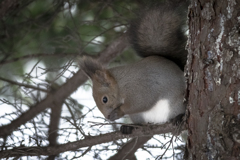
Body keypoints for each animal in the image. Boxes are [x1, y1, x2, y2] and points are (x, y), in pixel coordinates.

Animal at [80, 0, 188, 134]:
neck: (120, 84)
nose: (108, 117)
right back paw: (131, 127)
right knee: (142, 123)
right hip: (139, 116)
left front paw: (119, 112)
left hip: (177, 104)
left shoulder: (140, 88)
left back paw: (179, 118)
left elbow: (141, 102)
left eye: (104, 99)